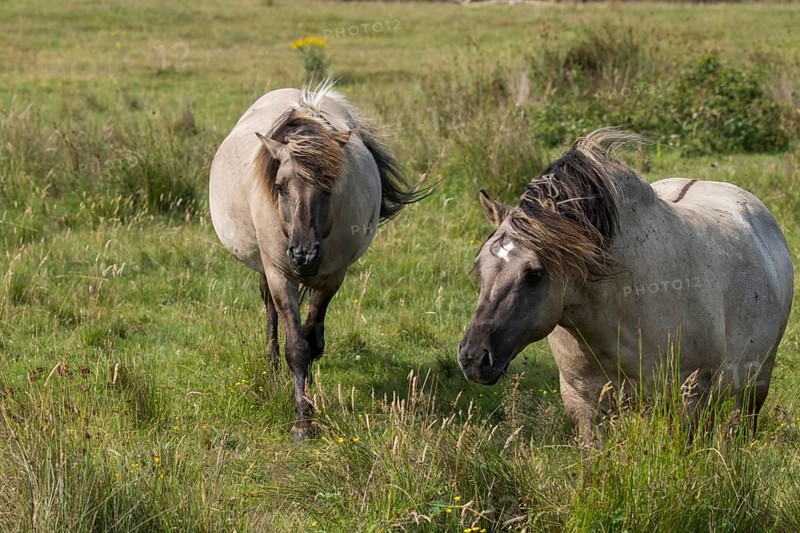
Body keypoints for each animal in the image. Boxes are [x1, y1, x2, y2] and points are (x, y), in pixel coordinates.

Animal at [209, 80, 424, 439]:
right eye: (280, 187)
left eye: (328, 188)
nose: (303, 254)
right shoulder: (279, 273)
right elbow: (296, 346)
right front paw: (303, 420)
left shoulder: (333, 274)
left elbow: (310, 333)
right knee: (270, 309)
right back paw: (272, 365)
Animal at [458, 129, 794, 449]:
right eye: (479, 265)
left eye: (534, 275)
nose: (473, 358)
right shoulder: (583, 401)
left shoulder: (690, 397)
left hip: (756, 380)